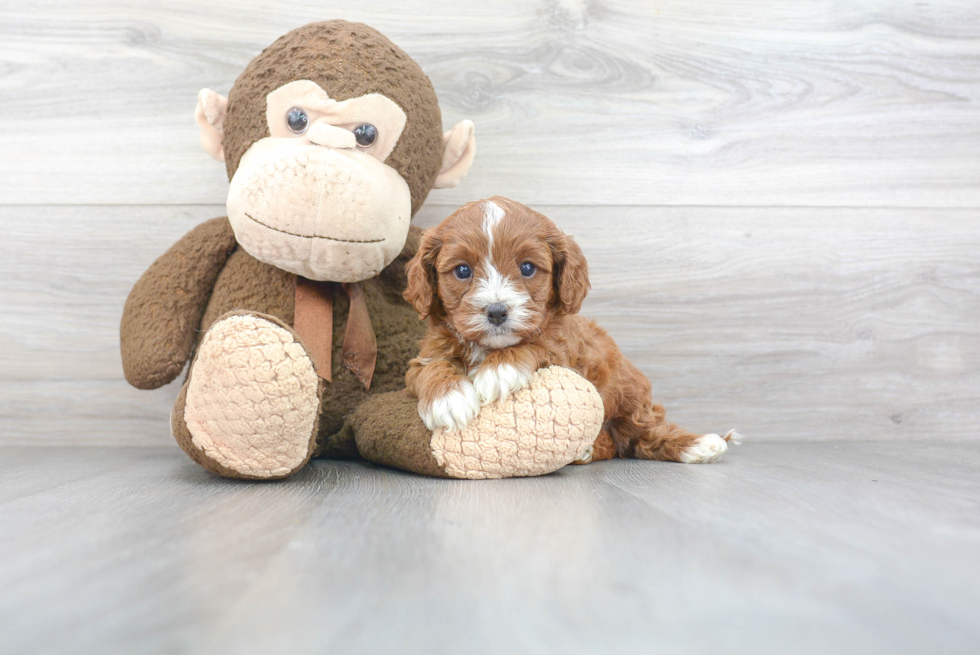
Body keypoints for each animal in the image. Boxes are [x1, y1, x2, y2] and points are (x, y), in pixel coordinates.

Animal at [402, 197, 740, 464]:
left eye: (527, 268)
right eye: (462, 271)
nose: (497, 311)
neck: (490, 347)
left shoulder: (566, 352)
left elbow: (536, 344)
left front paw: (498, 371)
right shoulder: (425, 356)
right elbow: (429, 368)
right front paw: (449, 399)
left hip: (630, 394)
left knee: (646, 432)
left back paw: (699, 445)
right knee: (616, 444)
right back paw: (588, 450)